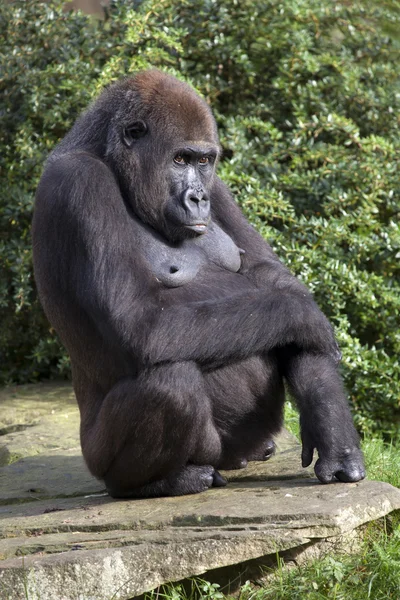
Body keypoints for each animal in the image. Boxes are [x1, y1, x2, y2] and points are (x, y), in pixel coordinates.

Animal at [33, 69, 366, 496]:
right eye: (179, 159)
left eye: (204, 161)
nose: (198, 198)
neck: (107, 157)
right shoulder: (80, 183)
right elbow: (139, 320)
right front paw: (308, 318)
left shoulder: (218, 184)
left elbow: (273, 279)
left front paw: (331, 425)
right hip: (98, 456)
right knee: (171, 382)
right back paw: (157, 482)